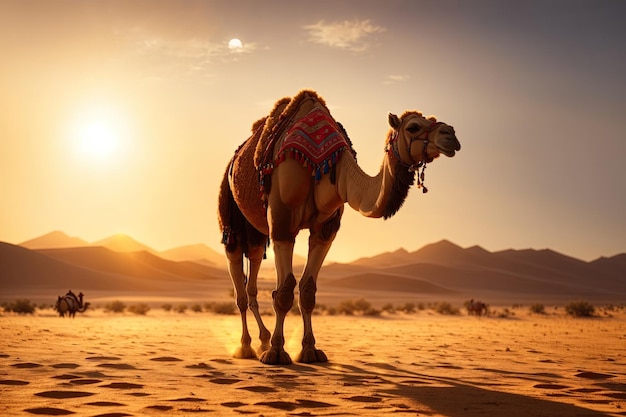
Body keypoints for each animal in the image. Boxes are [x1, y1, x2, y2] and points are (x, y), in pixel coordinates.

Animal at [218, 88, 458, 364]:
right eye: (413, 126)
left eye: (433, 120)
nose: (450, 134)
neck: (331, 169)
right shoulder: (282, 222)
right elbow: (284, 291)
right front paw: (277, 353)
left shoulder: (325, 229)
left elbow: (307, 290)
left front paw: (309, 350)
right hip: (231, 215)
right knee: (240, 285)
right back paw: (246, 347)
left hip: (256, 232)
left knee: (254, 273)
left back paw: (261, 341)